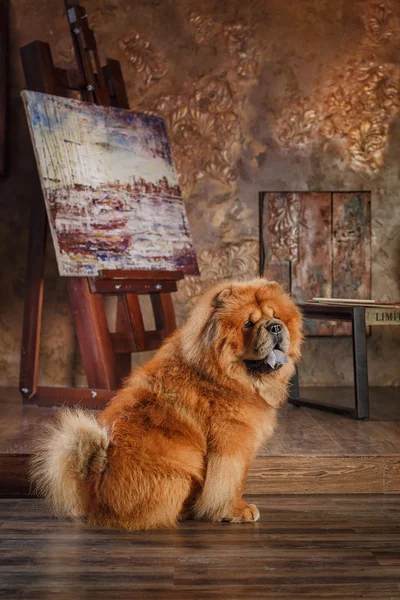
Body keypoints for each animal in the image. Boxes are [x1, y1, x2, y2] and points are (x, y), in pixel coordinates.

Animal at [31, 278, 302, 528]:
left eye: (276, 316)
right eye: (248, 323)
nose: (275, 327)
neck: (220, 376)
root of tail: (94, 486)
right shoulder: (231, 441)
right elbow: (230, 482)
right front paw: (236, 510)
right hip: (181, 470)